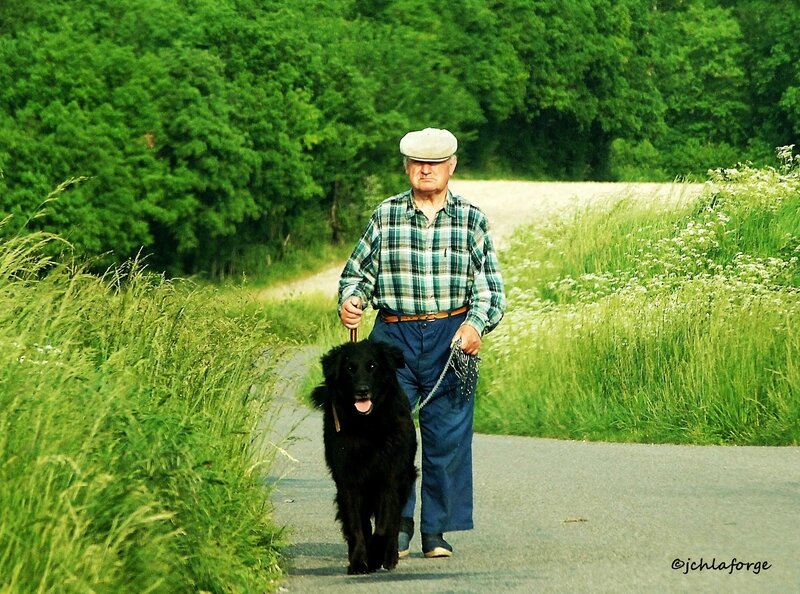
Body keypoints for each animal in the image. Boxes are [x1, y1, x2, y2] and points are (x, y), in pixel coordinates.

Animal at [310, 338, 416, 572]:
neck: (367, 426)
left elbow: (384, 527)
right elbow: (356, 527)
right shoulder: (348, 482)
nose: (362, 391)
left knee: (394, 523)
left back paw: (389, 556)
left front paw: (376, 556)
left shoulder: (390, 479)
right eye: (350, 369)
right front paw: (359, 561)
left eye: (373, 366)